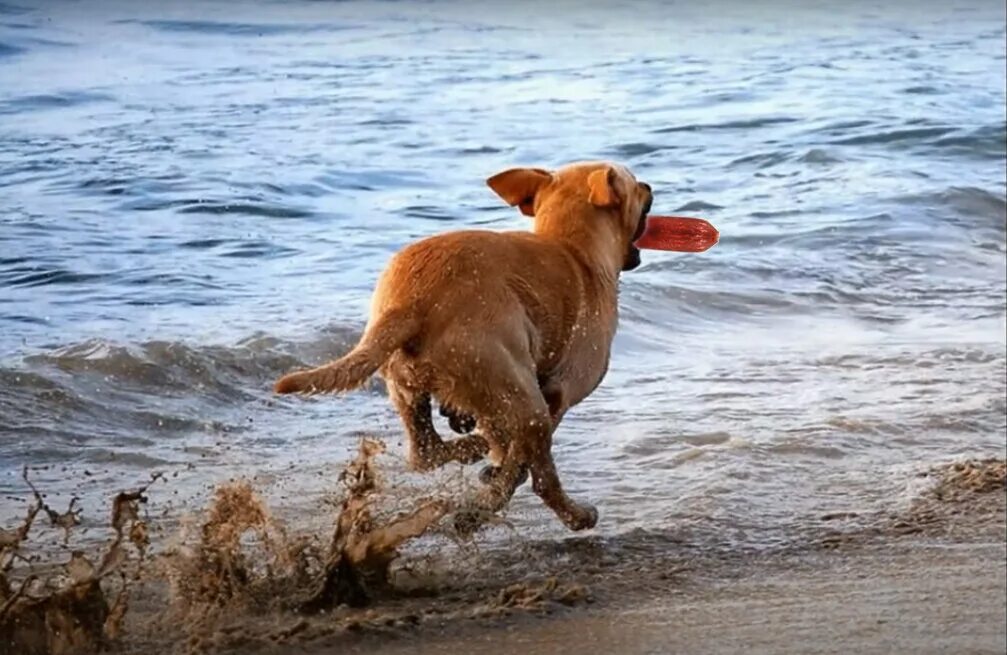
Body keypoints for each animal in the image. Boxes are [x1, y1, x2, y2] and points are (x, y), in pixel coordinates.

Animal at [275, 159, 652, 532]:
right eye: (635, 185)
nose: (649, 186)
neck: (575, 251)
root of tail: (411, 303)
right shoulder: (558, 394)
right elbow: (520, 465)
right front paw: (494, 488)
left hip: (408, 385)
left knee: (426, 453)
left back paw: (473, 451)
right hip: (522, 398)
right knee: (542, 477)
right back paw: (565, 513)